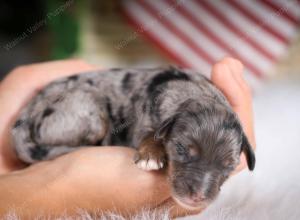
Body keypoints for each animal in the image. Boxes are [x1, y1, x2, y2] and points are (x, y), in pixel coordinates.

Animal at [12, 66, 255, 210]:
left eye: (229, 166)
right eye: (180, 149)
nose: (198, 197)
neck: (193, 91)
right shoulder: (142, 120)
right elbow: (150, 134)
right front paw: (151, 155)